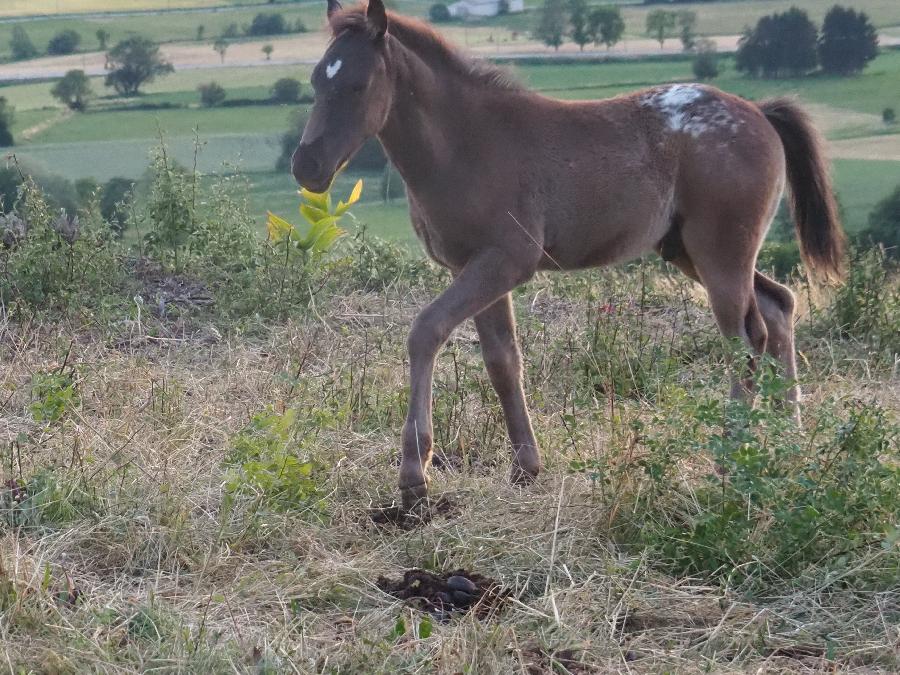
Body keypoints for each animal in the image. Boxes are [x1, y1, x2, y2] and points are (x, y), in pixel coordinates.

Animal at [291, 0, 846, 509]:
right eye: (317, 81)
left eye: (358, 85)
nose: (306, 166)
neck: (465, 144)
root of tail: (760, 113)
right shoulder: (474, 267)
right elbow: (502, 361)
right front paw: (526, 467)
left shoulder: (506, 260)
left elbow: (426, 330)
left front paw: (414, 472)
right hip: (692, 251)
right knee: (778, 306)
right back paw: (790, 441)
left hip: (721, 250)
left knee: (746, 338)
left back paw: (731, 460)